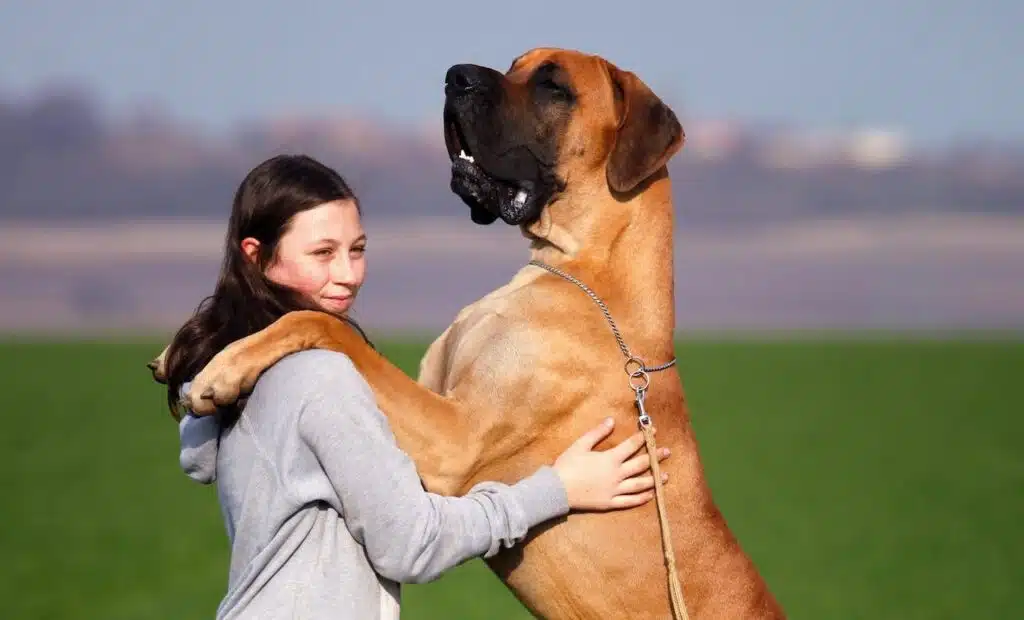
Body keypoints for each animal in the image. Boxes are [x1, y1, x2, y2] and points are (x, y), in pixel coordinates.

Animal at [157, 49, 782, 618]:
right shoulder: (431, 400)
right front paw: (189, 351)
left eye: (554, 86)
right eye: (513, 65)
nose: (455, 76)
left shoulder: (454, 443)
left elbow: (323, 322)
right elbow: (336, 331)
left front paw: (220, 369)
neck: (582, 275)